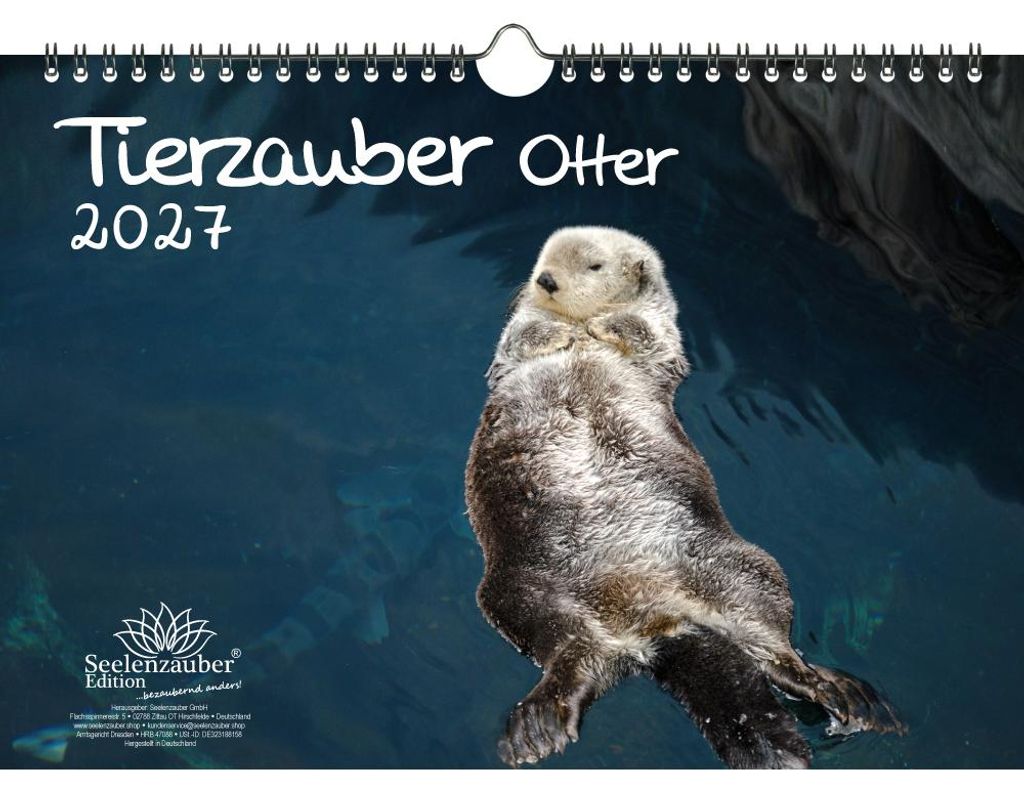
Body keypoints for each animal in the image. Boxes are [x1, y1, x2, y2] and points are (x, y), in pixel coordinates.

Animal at [464, 226, 904, 768]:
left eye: (593, 266)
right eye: (543, 258)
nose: (545, 280)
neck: (580, 317)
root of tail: (656, 624)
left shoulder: (664, 334)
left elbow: (643, 332)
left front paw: (605, 326)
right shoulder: (518, 331)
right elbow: (522, 336)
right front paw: (561, 335)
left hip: (740, 566)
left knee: (770, 644)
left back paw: (835, 691)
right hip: (519, 586)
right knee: (574, 654)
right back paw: (540, 725)